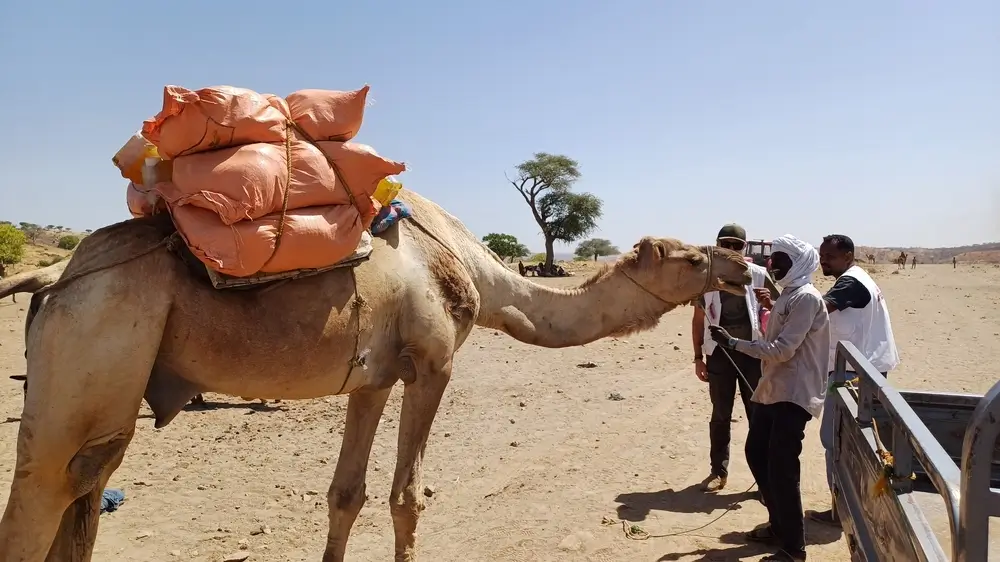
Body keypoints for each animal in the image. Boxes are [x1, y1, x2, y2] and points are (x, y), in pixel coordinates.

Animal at [0, 189, 751, 562]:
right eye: (691, 259)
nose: (743, 267)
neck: (480, 274)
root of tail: (58, 274)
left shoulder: (371, 379)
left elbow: (346, 495)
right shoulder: (433, 365)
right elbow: (406, 497)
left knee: (82, 492)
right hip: (94, 345)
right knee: (44, 498)